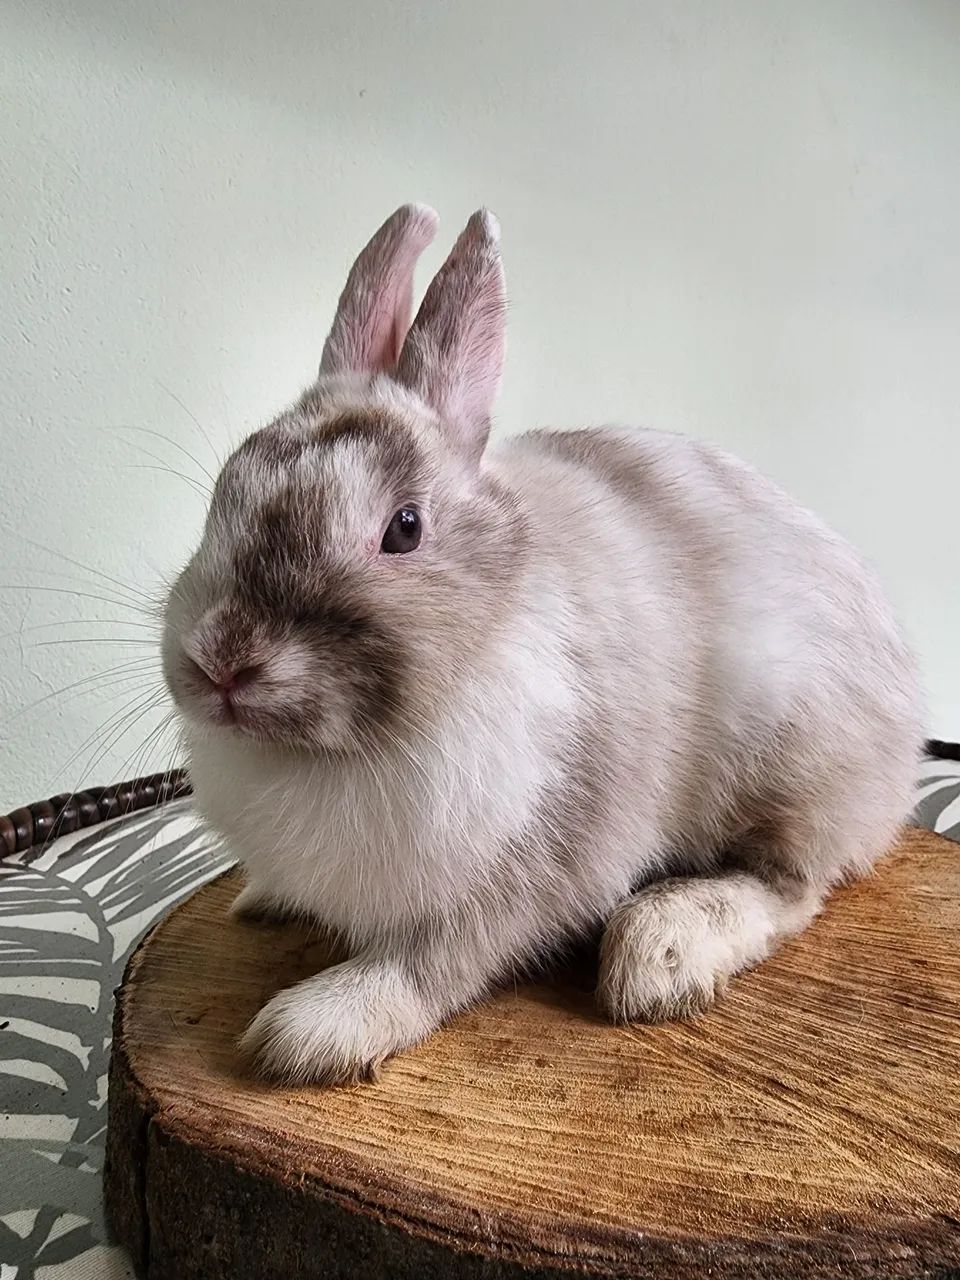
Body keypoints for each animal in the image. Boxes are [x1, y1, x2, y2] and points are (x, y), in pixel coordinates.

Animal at [161, 204, 923, 1085]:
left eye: (404, 529)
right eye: (227, 487)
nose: (220, 663)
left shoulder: (528, 870)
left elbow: (435, 962)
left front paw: (315, 1030)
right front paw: (264, 897)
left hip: (791, 756)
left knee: (794, 885)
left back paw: (662, 950)